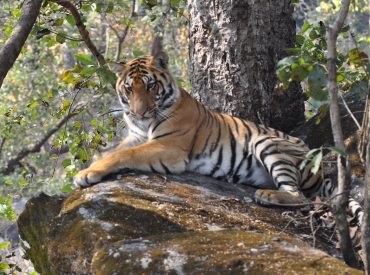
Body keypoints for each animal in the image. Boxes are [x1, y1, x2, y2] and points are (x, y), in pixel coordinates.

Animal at [73, 51, 362, 231]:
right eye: (129, 89)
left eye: (150, 86)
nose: (138, 112)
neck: (145, 123)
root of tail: (319, 170)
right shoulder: (136, 136)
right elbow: (111, 152)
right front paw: (89, 168)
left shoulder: (170, 146)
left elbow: (123, 155)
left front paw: (85, 175)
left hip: (267, 142)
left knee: (299, 196)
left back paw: (268, 196)